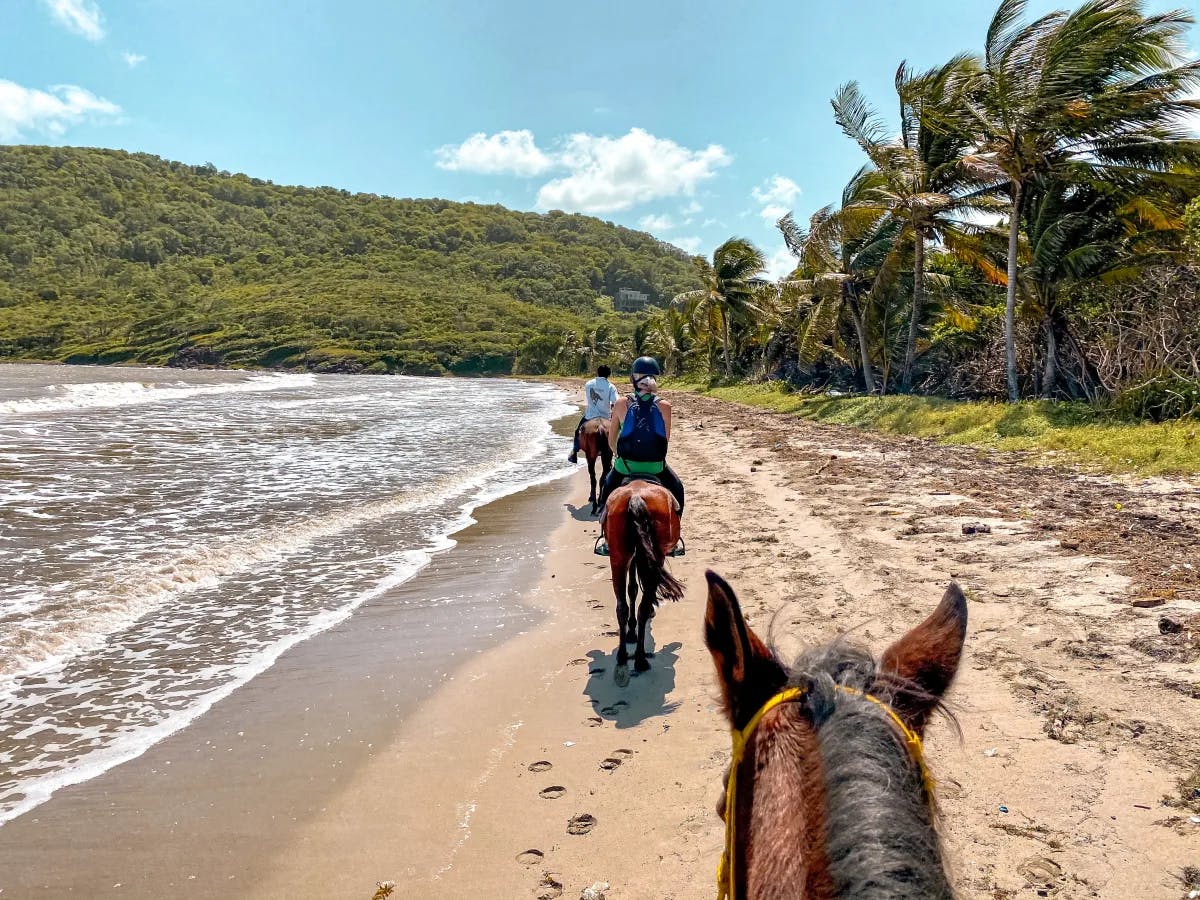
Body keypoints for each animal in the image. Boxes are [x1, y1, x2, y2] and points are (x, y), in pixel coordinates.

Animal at [604, 482, 681, 686]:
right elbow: (637, 589)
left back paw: (623, 659)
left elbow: (632, 589)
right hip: (654, 557)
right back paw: (640, 659)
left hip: (618, 558)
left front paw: (631, 631)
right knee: (643, 606)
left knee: (621, 607)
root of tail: (636, 497)